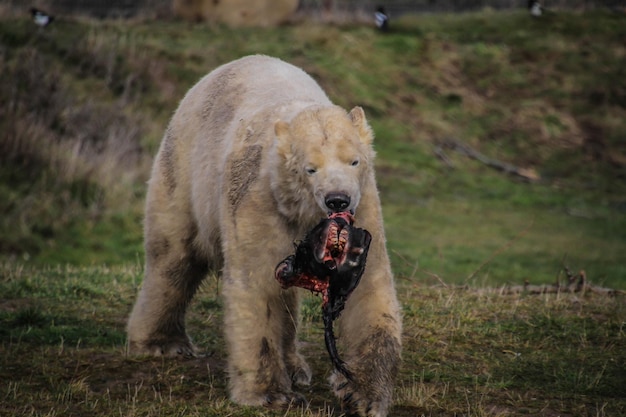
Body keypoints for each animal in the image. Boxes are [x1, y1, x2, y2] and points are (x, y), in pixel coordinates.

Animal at [126, 55, 400, 416]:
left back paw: (296, 367)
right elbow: (256, 284)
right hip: (184, 169)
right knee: (173, 255)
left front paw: (363, 393)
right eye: (310, 168)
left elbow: (367, 289)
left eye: (354, 161)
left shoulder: (364, 206)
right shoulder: (259, 199)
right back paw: (162, 343)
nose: (337, 199)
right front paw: (270, 394)